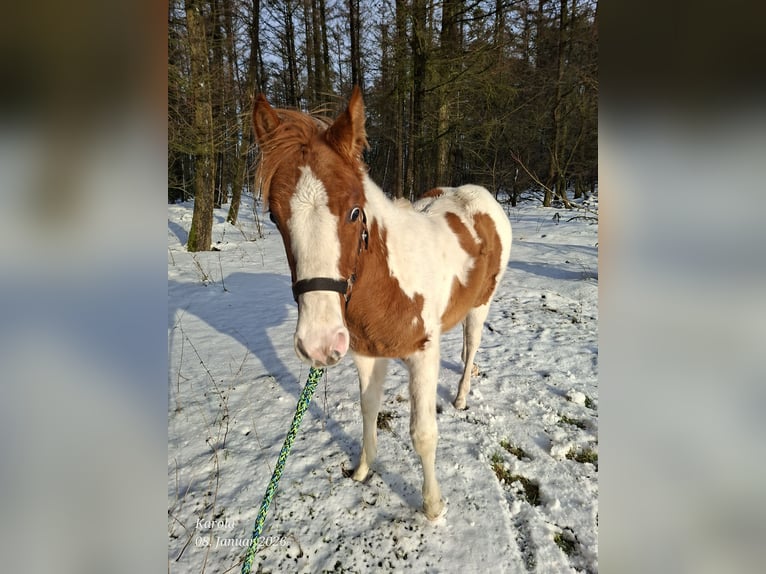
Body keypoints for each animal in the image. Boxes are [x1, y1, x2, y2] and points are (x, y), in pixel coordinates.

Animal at [252, 87, 512, 520]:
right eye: (274, 216)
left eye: (355, 211)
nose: (319, 344)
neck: (390, 283)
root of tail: (480, 194)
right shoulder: (365, 354)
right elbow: (368, 408)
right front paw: (362, 469)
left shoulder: (422, 354)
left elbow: (422, 433)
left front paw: (433, 506)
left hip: (482, 305)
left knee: (473, 345)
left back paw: (460, 396)